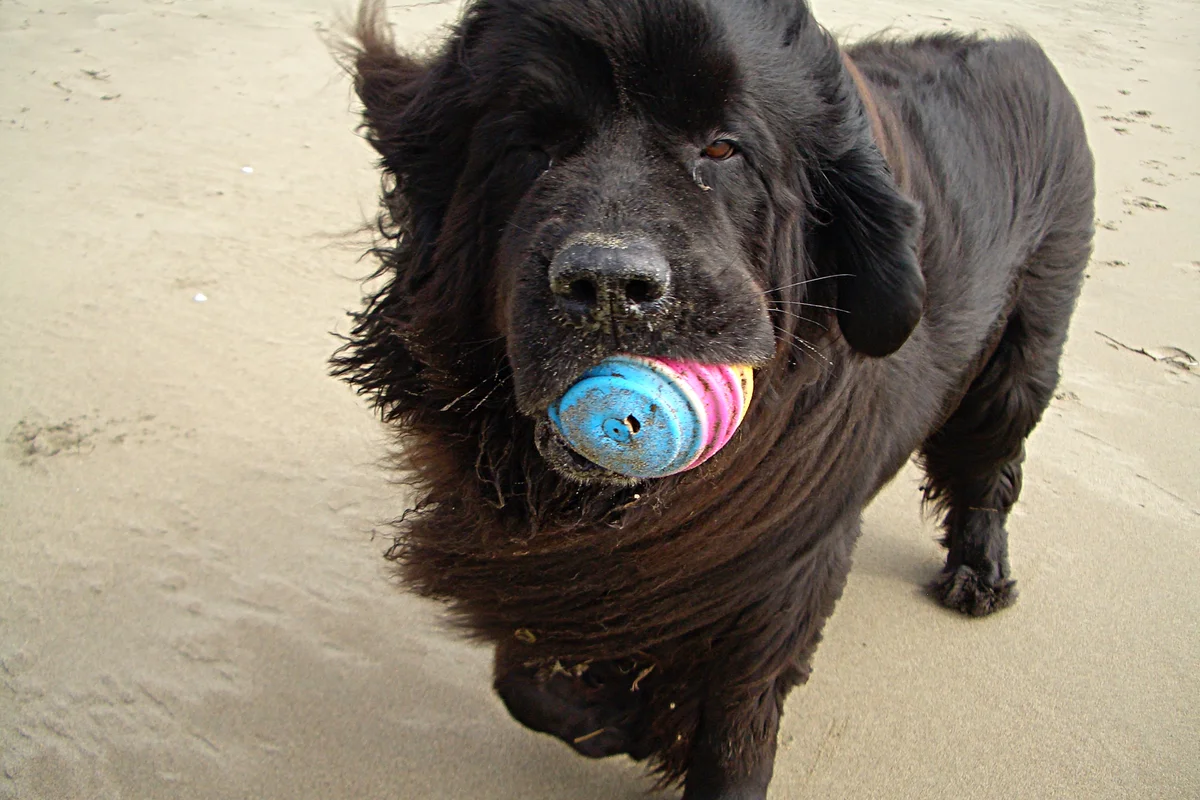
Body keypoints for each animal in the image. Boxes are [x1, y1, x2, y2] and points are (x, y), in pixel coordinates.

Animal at [333, 1, 1094, 796]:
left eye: (725, 149)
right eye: (532, 146)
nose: (611, 283)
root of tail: (1022, 53)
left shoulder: (777, 578)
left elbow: (735, 723)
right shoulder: (550, 571)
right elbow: (528, 674)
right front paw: (618, 717)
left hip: (1021, 353)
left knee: (991, 462)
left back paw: (979, 574)